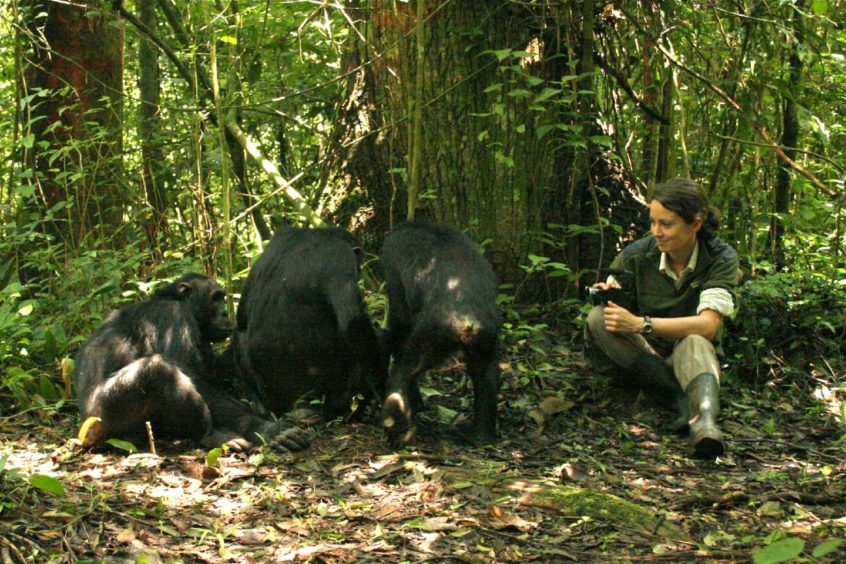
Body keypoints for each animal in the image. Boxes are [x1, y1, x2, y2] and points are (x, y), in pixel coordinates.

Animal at [73, 270, 312, 452]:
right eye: (216, 297)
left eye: (222, 297)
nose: (226, 313)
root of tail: (85, 432)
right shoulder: (172, 317)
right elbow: (196, 378)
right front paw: (267, 429)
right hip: (105, 417)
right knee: (158, 370)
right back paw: (212, 435)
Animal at [234, 228, 390, 418]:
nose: (360, 270)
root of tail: (296, 408)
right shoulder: (341, 257)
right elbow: (354, 323)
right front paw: (381, 393)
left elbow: (242, 315)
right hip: (334, 396)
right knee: (378, 338)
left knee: (239, 333)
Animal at [380, 220, 504, 446]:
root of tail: (467, 319)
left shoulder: (392, 264)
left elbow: (399, 320)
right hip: (487, 336)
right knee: (484, 375)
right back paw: (479, 435)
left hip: (432, 333)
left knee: (407, 367)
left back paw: (396, 419)